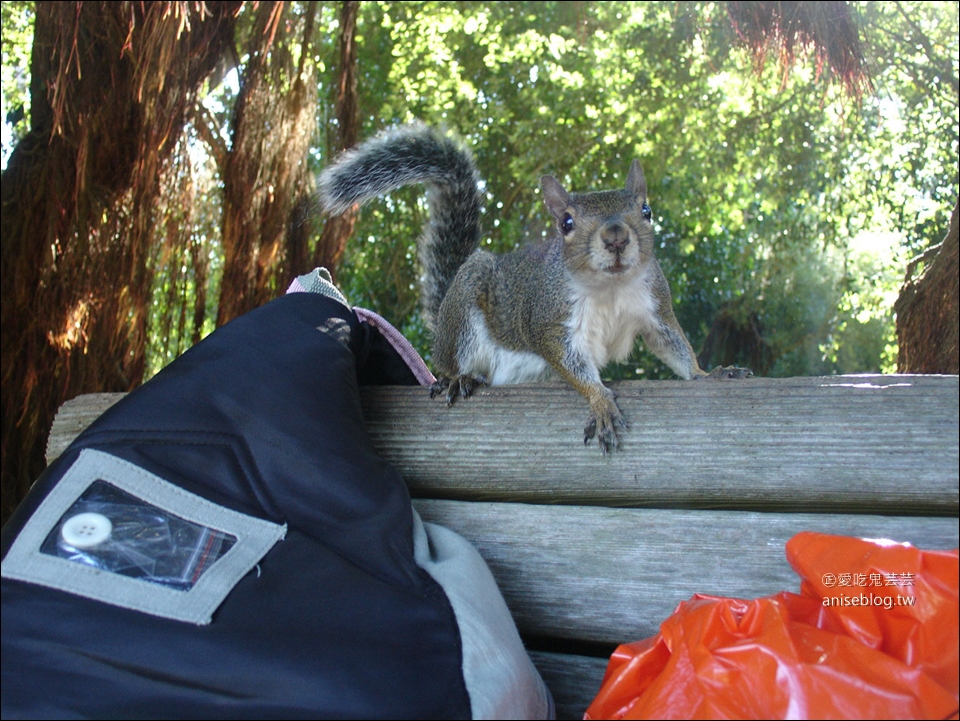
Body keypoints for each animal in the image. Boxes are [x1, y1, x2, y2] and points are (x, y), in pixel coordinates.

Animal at [316, 124, 752, 450]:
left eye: (646, 211)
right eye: (566, 223)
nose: (615, 237)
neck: (608, 288)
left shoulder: (654, 306)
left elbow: (673, 346)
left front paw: (707, 374)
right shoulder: (549, 320)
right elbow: (570, 362)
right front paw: (599, 400)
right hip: (465, 313)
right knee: (453, 363)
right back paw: (461, 378)